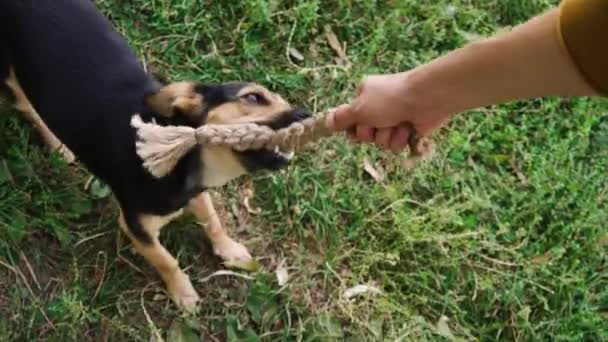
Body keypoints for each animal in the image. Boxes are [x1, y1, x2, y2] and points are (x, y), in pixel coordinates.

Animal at [0, 0, 312, 310]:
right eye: (253, 97)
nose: (306, 115)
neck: (182, 160)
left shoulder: (197, 193)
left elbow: (213, 221)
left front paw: (228, 249)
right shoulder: (136, 227)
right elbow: (167, 260)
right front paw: (183, 292)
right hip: (8, 71)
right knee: (23, 101)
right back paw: (54, 141)